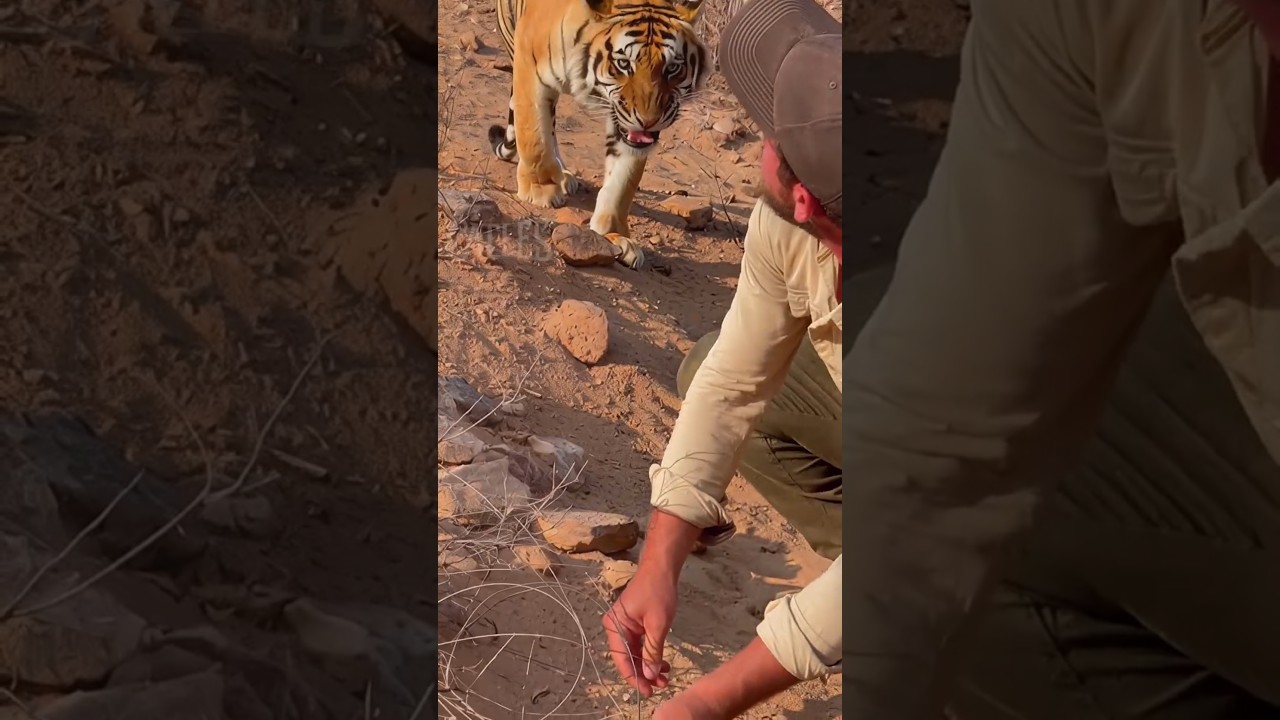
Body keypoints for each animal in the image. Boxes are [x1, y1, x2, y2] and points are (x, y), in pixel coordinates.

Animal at [487, 0, 710, 269]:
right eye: (624, 64)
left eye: (673, 68)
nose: (649, 121)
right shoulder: (530, 68)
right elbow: (534, 136)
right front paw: (541, 192)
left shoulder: (624, 120)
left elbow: (623, 180)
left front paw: (613, 235)